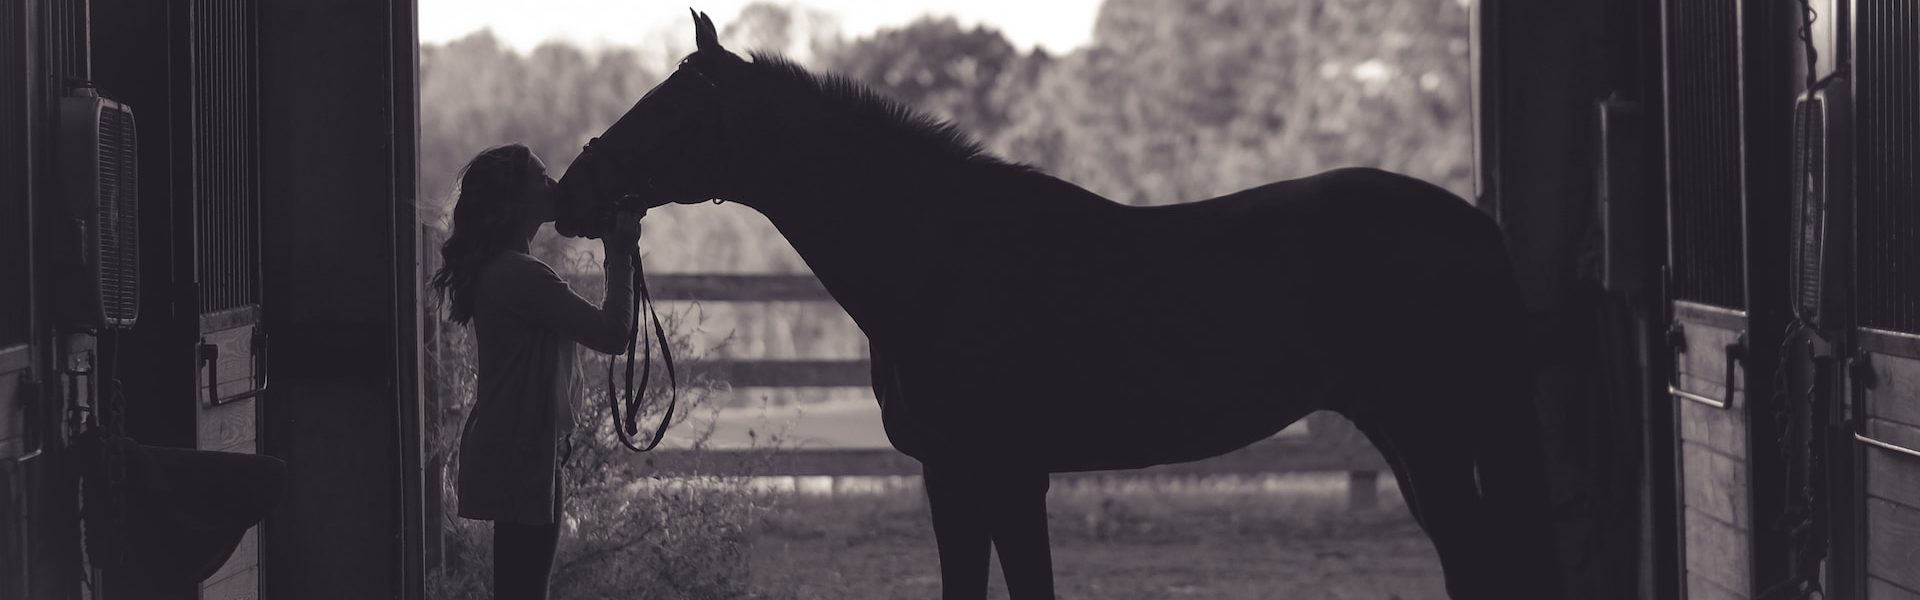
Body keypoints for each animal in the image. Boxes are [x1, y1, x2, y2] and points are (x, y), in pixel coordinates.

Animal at [556, 10, 1559, 600]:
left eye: (669, 109)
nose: (570, 194)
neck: (942, 256)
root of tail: (1473, 223)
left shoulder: (1008, 471)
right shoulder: (951, 476)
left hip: (1432, 429)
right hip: (1409, 432)